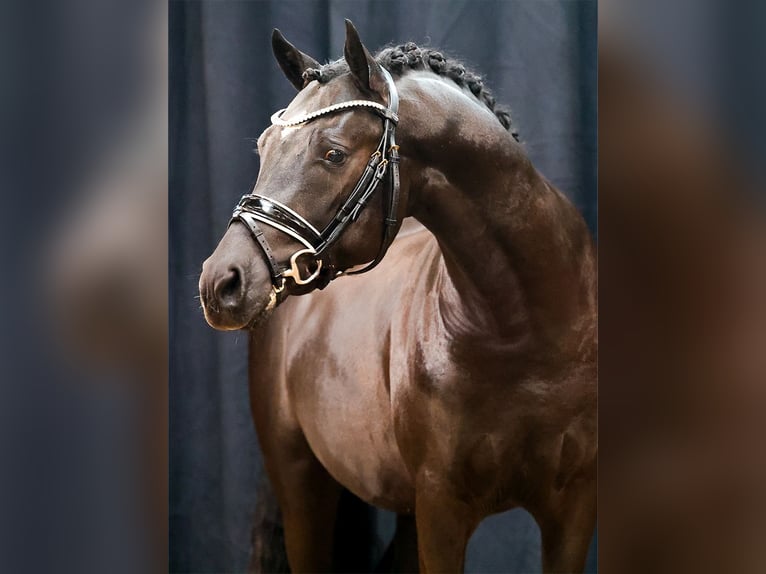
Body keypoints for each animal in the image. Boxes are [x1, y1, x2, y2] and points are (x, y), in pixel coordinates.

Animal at [200, 19, 600, 574]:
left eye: (333, 153)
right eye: (263, 147)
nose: (221, 281)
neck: (525, 328)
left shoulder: (574, 507)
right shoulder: (441, 506)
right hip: (302, 483)